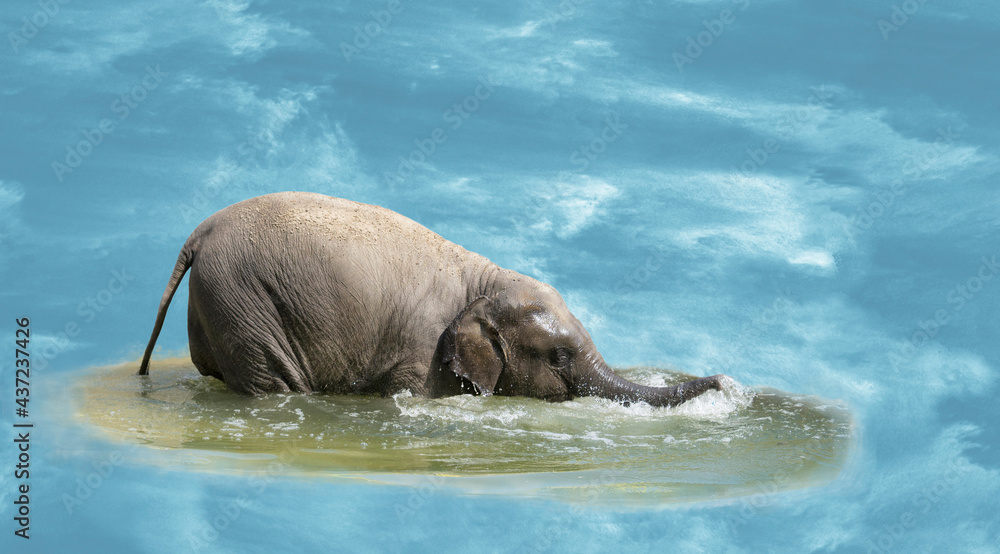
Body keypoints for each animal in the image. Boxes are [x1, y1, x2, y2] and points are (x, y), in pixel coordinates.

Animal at [138, 192, 725, 407]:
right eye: (559, 358)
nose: (724, 378)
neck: (483, 283)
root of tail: (198, 234)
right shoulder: (421, 351)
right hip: (245, 301)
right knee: (276, 387)